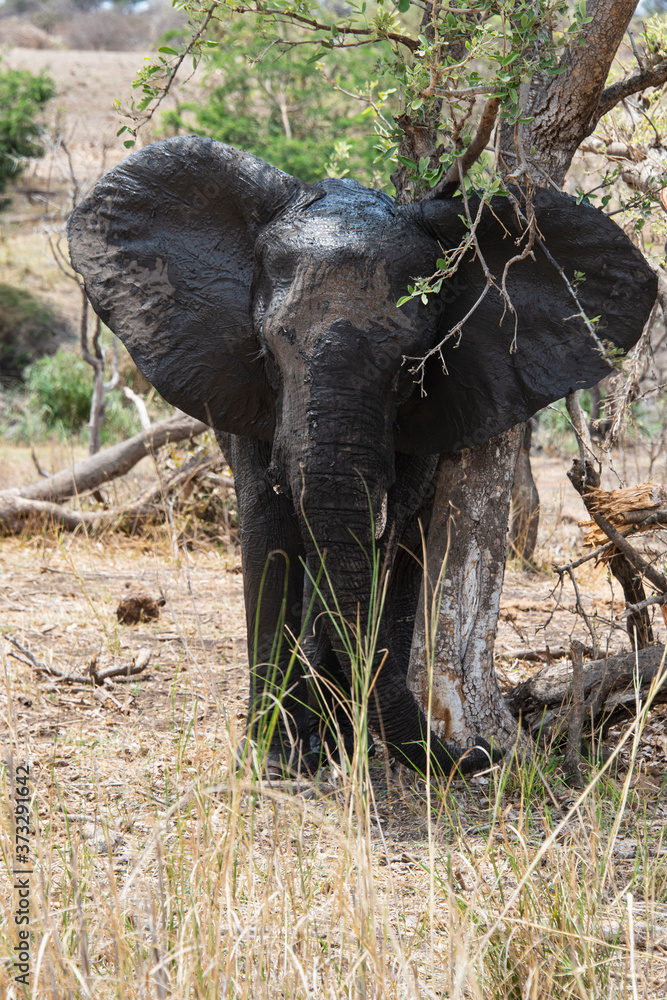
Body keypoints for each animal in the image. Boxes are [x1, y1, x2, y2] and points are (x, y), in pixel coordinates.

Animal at [67, 136, 657, 778]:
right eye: (268, 353)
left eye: (411, 367)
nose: (479, 753)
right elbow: (269, 525)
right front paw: (277, 758)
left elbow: (392, 536)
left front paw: (332, 741)